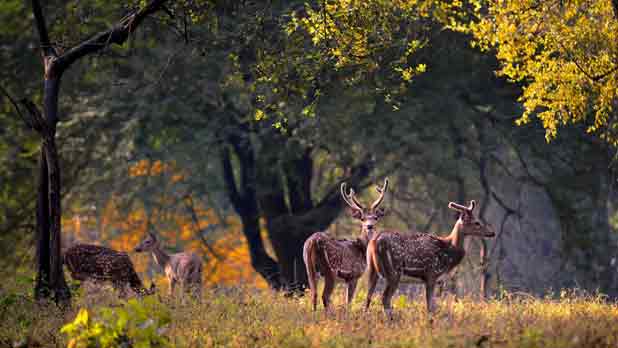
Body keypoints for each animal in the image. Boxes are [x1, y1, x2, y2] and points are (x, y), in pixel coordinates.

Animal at [302, 178, 388, 312]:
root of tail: (313, 241)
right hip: (330, 270)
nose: (369, 226)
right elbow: (349, 302)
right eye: (362, 219)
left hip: (308, 267)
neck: (361, 249)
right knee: (325, 296)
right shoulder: (354, 275)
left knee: (314, 294)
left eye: (375, 217)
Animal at [364, 198, 494, 318]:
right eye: (477, 222)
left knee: (368, 296)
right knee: (385, 298)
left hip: (372, 269)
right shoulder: (432, 274)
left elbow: (432, 306)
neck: (448, 253)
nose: (492, 233)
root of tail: (374, 242)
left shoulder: (433, 279)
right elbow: (430, 307)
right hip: (394, 272)